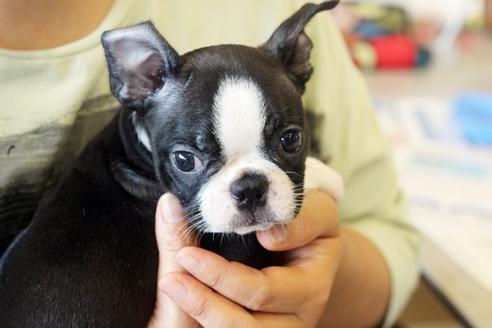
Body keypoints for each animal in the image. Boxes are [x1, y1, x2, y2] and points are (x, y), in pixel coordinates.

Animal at [0, 1, 342, 326]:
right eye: (185, 160)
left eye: (291, 139)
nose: (250, 188)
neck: (135, 154)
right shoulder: (237, 251)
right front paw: (326, 173)